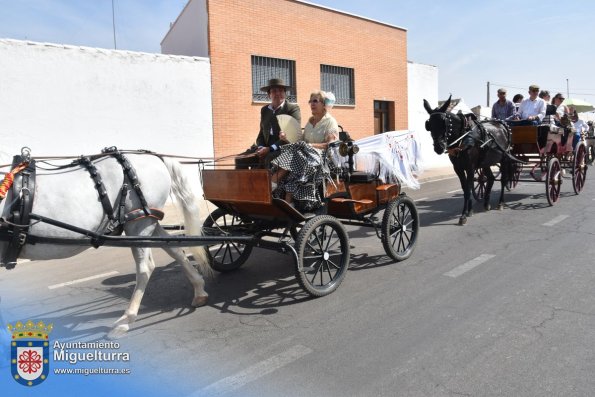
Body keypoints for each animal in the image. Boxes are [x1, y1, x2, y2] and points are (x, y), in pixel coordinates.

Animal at [0, 152, 211, 338]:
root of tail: (154, 157)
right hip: (146, 221)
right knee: (175, 249)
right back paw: (199, 290)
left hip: (139, 224)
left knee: (145, 268)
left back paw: (126, 320)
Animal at [424, 96, 516, 224]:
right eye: (429, 124)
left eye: (444, 122)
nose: (439, 147)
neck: (463, 136)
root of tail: (503, 124)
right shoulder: (458, 168)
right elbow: (465, 188)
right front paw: (469, 210)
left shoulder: (470, 167)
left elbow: (468, 188)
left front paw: (464, 214)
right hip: (485, 162)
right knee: (491, 178)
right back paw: (486, 204)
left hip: (504, 159)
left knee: (504, 180)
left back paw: (501, 203)